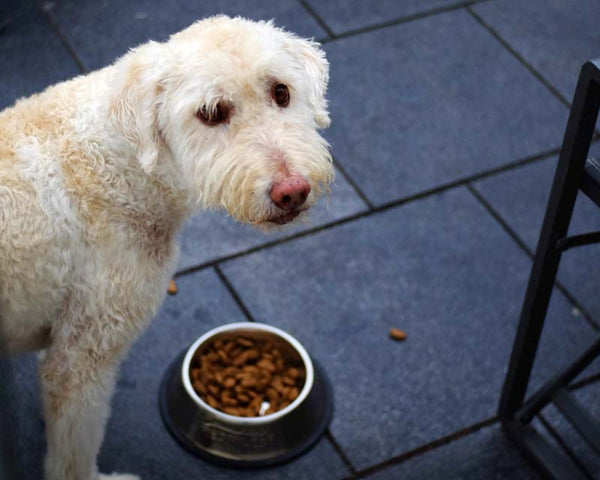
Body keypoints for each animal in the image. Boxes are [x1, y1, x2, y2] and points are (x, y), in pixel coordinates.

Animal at [0, 15, 332, 480]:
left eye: (281, 92)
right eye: (211, 113)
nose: (292, 191)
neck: (117, 159)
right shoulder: (86, 355)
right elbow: (73, 452)